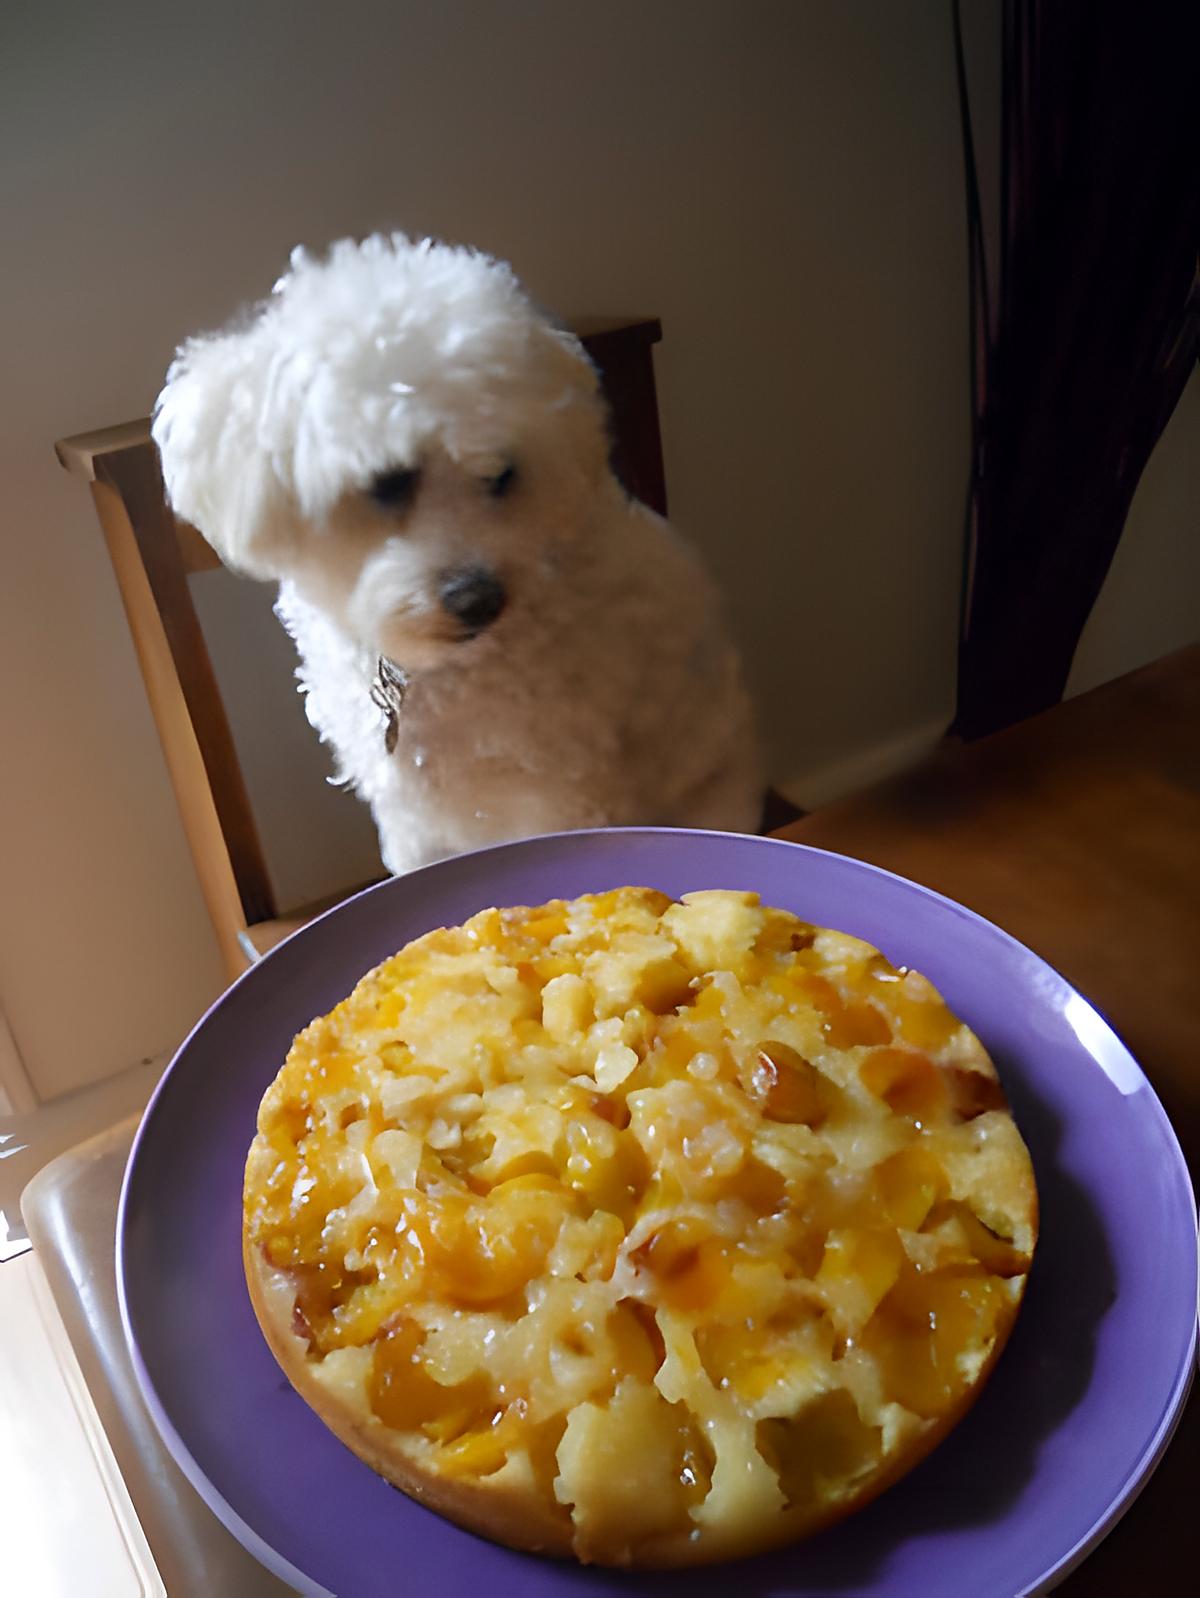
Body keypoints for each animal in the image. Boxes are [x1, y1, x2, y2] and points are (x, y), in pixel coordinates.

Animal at [154, 233, 763, 875]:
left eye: (501, 475)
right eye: (389, 481)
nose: (478, 600)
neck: (430, 674)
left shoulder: (563, 792)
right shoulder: (409, 815)